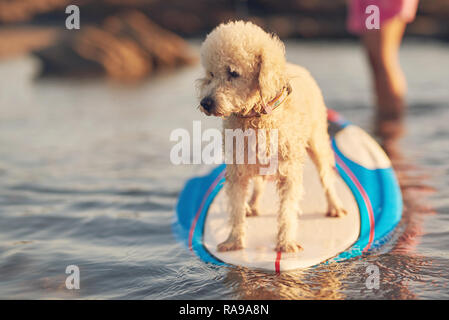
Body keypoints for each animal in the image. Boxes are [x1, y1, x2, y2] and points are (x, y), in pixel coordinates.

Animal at [197, 21, 346, 254]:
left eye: (233, 73)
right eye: (211, 74)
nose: (206, 103)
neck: (256, 116)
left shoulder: (289, 173)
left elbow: (287, 211)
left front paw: (286, 242)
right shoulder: (236, 171)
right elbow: (236, 208)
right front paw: (234, 240)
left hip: (317, 141)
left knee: (326, 176)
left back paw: (334, 206)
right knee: (258, 183)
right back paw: (253, 204)